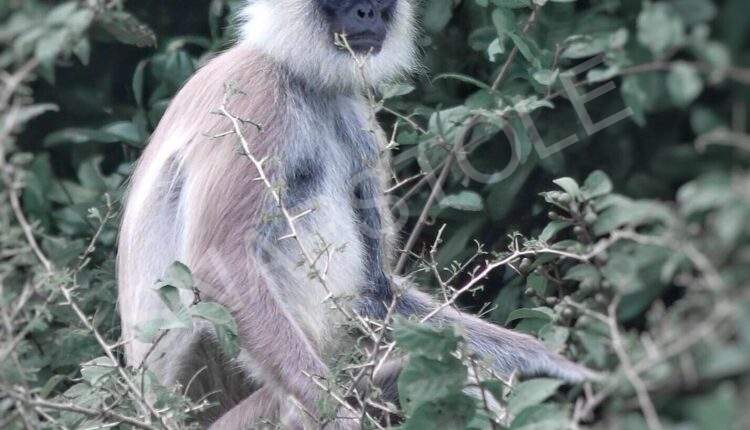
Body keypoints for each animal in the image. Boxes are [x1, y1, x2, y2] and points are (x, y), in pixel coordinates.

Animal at [119, 0, 600, 426]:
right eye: (338, 1)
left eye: (380, 2)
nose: (366, 12)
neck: (303, 78)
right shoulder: (255, 94)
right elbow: (218, 262)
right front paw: (335, 413)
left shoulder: (353, 112)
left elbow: (375, 286)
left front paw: (548, 362)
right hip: (203, 385)